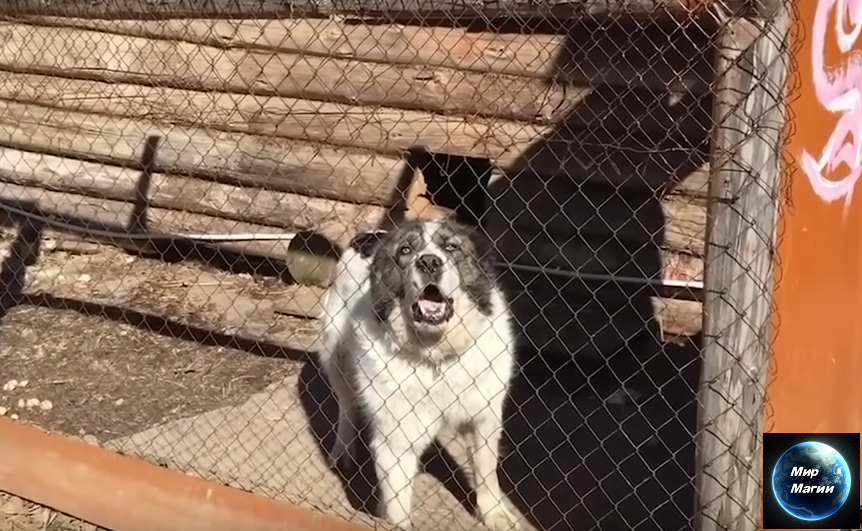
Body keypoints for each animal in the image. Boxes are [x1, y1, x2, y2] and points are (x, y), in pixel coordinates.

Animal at [316, 217, 520, 531]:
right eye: (406, 250)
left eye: (451, 247)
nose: (429, 263)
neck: (434, 356)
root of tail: (369, 235)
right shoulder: (396, 439)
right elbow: (397, 503)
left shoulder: (484, 418)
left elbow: (486, 471)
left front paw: (494, 513)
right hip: (335, 357)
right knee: (346, 407)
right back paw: (343, 452)